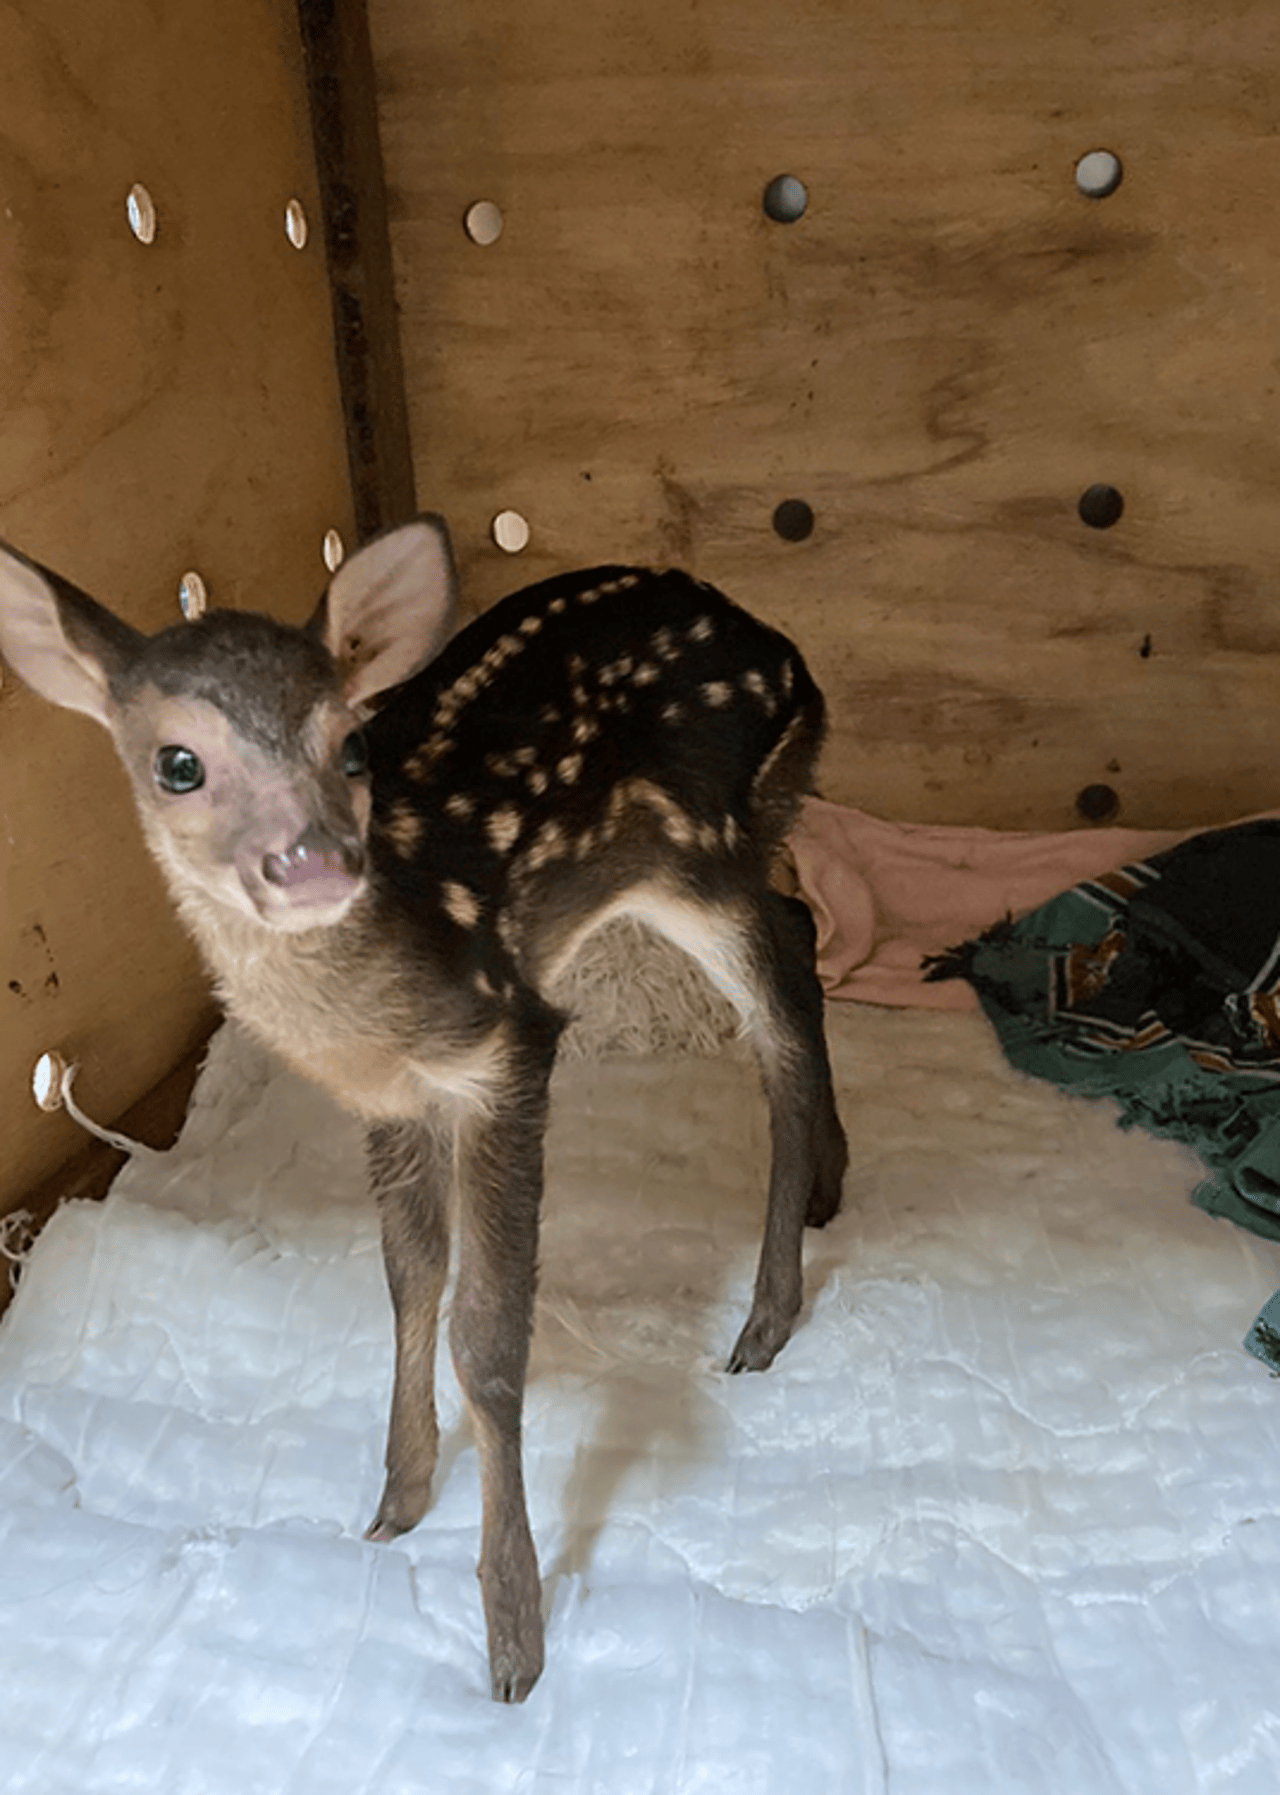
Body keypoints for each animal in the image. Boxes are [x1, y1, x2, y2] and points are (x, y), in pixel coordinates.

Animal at [0, 516, 847, 1694]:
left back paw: (766, 1314)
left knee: (783, 1012)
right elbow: (408, 1279)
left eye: (351, 748)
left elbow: (484, 1336)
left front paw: (512, 1633)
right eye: (178, 763)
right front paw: (394, 1499)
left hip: (697, 846)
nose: (314, 861)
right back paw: (824, 1192)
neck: (370, 998)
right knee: (805, 937)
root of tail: (787, 655)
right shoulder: (388, 1095)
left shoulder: (508, 1050)